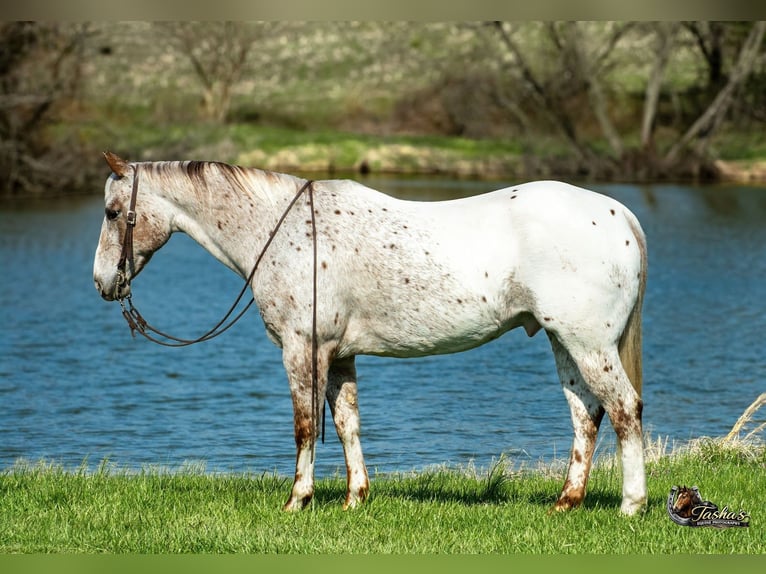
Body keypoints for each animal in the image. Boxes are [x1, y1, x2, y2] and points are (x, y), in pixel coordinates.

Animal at [93, 152, 648, 515]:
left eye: (112, 212)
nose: (102, 282)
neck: (286, 230)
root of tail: (619, 215)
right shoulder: (338, 355)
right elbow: (347, 425)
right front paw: (354, 498)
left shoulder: (302, 350)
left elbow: (303, 427)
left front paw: (297, 500)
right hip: (565, 343)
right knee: (587, 416)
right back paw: (566, 503)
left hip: (588, 344)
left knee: (624, 410)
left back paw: (632, 505)